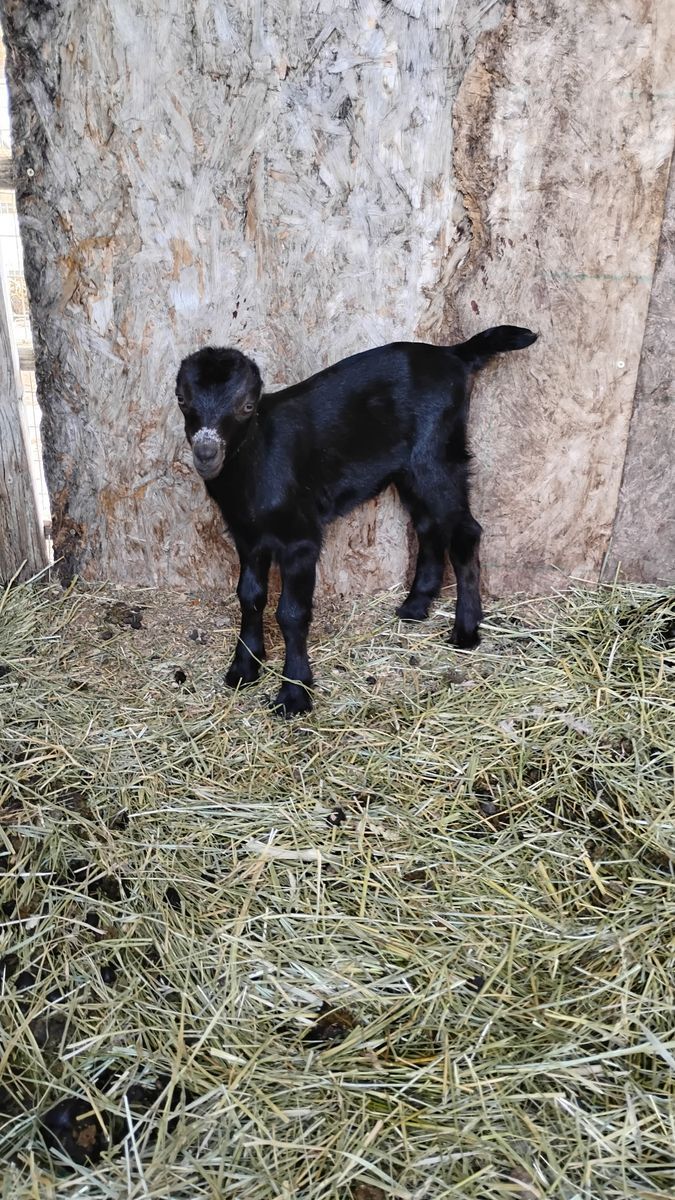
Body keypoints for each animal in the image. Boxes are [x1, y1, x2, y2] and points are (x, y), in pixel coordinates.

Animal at [176, 324, 538, 716]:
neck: (255, 463)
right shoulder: (248, 537)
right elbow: (250, 596)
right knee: (429, 526)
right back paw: (415, 607)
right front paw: (244, 668)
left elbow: (291, 612)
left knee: (464, 531)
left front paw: (295, 693)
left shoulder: (300, 538)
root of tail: (454, 355)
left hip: (437, 455)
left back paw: (465, 632)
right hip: (410, 469)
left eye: (246, 406)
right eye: (182, 400)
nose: (206, 454)